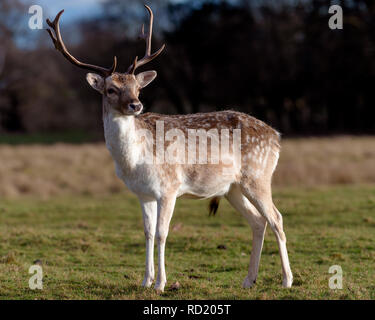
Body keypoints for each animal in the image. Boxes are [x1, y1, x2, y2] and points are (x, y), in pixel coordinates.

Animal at [46, 4, 294, 292]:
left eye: (137, 87)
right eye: (111, 89)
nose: (135, 105)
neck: (134, 161)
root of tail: (276, 136)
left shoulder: (169, 187)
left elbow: (162, 234)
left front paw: (161, 283)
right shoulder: (143, 194)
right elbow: (147, 233)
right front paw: (145, 280)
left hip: (258, 175)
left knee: (276, 218)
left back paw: (287, 280)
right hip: (232, 187)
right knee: (257, 221)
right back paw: (248, 280)